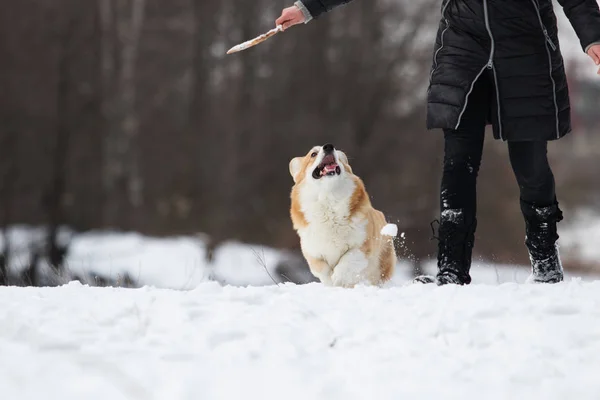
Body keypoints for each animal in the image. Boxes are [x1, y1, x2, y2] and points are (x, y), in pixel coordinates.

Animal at [288, 144, 396, 288]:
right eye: (313, 154)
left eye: (338, 156)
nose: (329, 146)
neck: (328, 197)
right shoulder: (313, 253)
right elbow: (322, 269)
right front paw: (331, 282)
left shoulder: (363, 245)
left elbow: (348, 260)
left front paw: (338, 279)